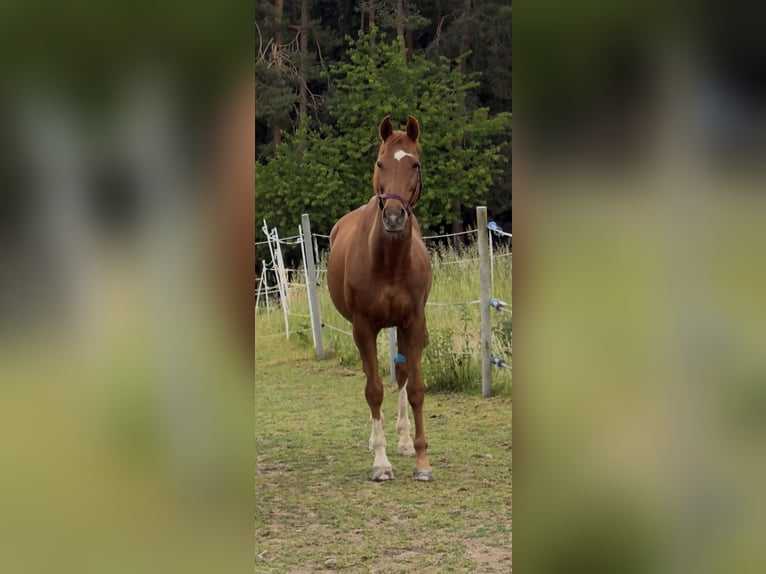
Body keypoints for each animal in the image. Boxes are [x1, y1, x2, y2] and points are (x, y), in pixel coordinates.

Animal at [327, 115, 434, 482]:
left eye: (415, 163)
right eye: (380, 163)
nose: (394, 217)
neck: (388, 262)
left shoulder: (413, 324)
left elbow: (415, 389)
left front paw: (421, 461)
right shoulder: (363, 327)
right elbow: (373, 390)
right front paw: (381, 463)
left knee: (400, 377)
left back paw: (403, 441)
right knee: (371, 378)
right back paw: (378, 442)